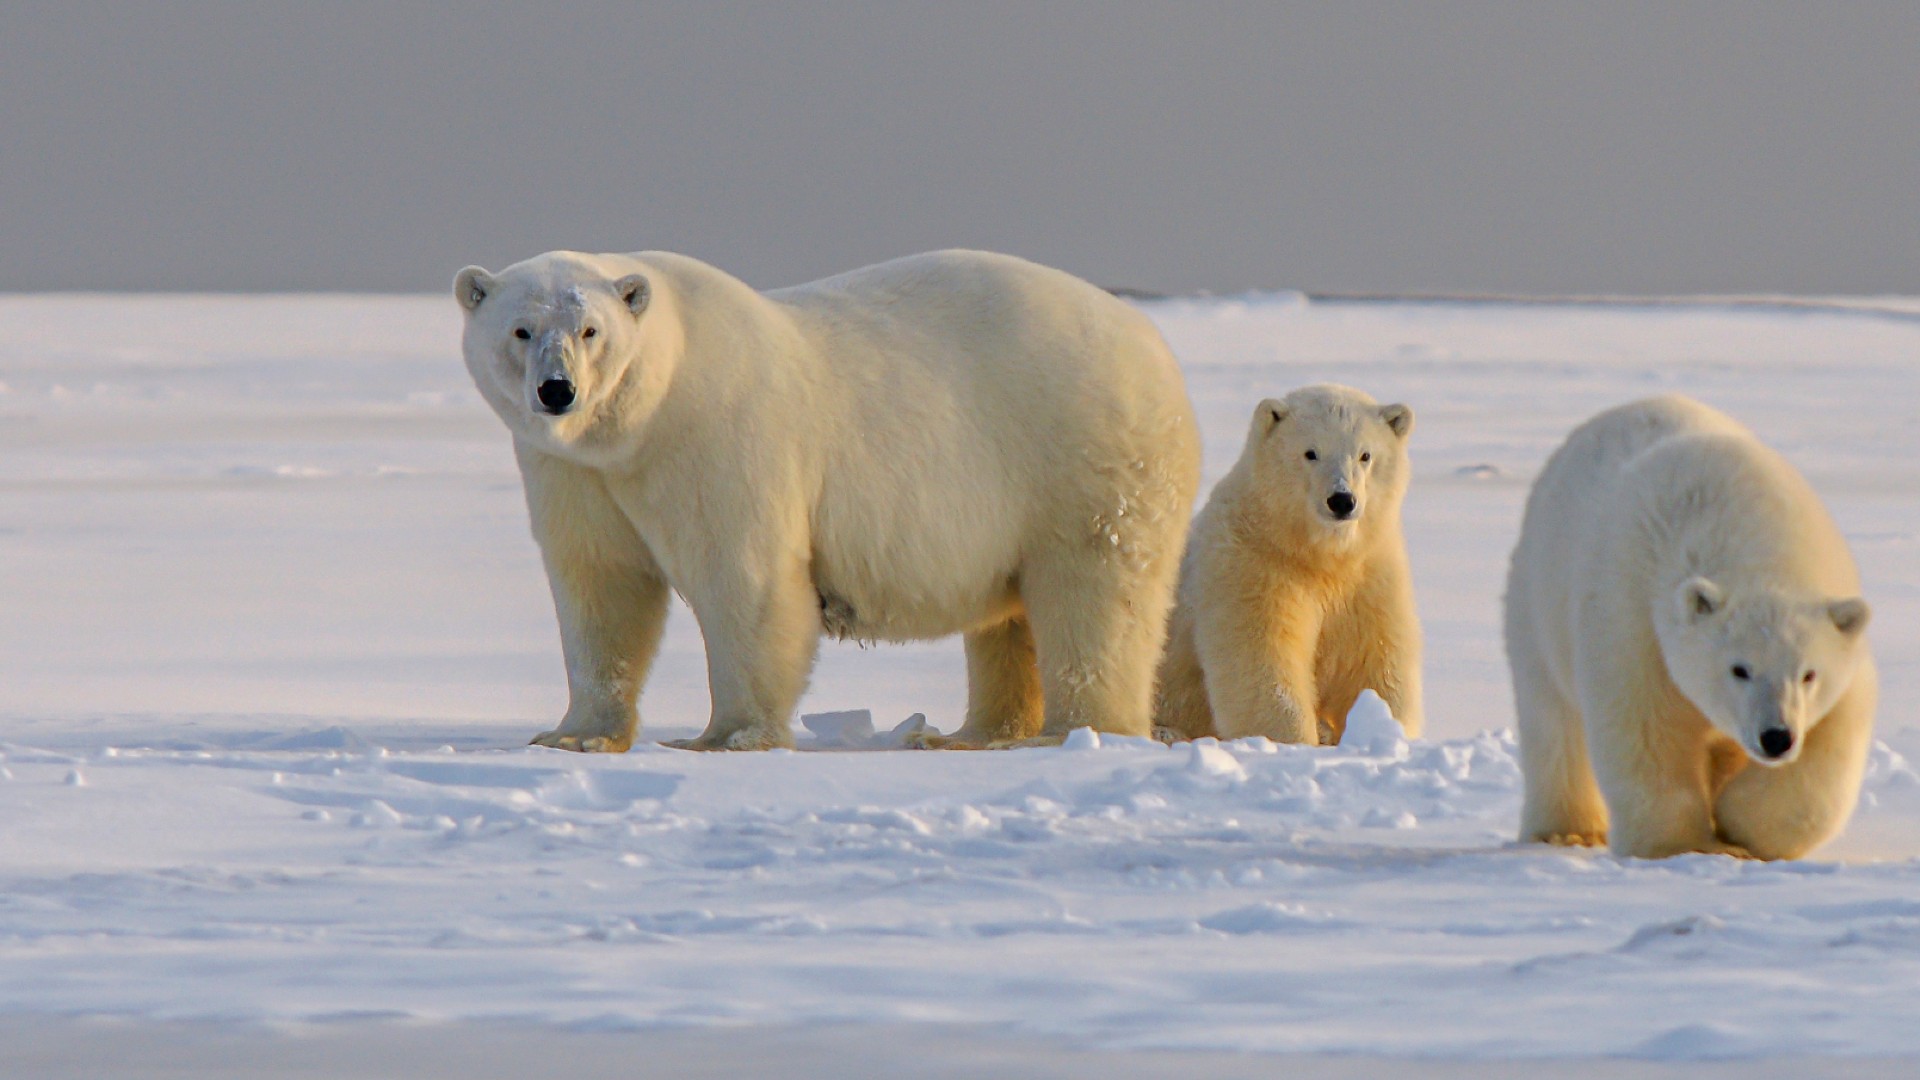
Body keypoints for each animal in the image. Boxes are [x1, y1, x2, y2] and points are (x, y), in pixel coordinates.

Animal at [453, 245, 1198, 749]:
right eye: (520, 330)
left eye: (591, 331)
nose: (557, 391)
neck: (644, 418)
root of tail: (1154, 345)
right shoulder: (574, 471)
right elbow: (600, 587)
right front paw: (574, 735)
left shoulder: (719, 436)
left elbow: (744, 579)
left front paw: (725, 737)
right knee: (1008, 620)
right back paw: (971, 734)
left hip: (1080, 456)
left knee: (1094, 596)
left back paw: (1076, 730)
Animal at [1152, 382, 1428, 745]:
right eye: (1310, 452)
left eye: (1365, 454)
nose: (1342, 500)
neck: (1315, 553)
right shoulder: (1251, 565)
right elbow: (1263, 660)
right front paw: (1293, 739)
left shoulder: (1369, 573)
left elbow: (1373, 661)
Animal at [1497, 395, 1873, 857]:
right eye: (1739, 669)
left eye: (1809, 674)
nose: (1776, 737)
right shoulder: (1633, 616)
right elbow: (1645, 725)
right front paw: (1683, 845)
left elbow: (1832, 739)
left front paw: (1739, 826)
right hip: (1537, 601)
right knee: (1552, 720)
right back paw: (1566, 831)